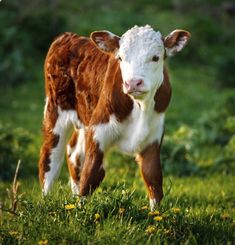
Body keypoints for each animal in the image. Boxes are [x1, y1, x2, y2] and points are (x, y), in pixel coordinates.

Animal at [38, 24, 189, 211]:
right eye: (121, 58)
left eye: (155, 57)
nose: (133, 83)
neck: (140, 106)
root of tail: (68, 37)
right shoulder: (98, 130)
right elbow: (91, 174)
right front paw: (81, 211)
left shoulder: (153, 137)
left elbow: (153, 176)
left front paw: (156, 216)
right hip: (56, 109)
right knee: (50, 156)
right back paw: (46, 202)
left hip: (84, 117)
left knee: (74, 153)